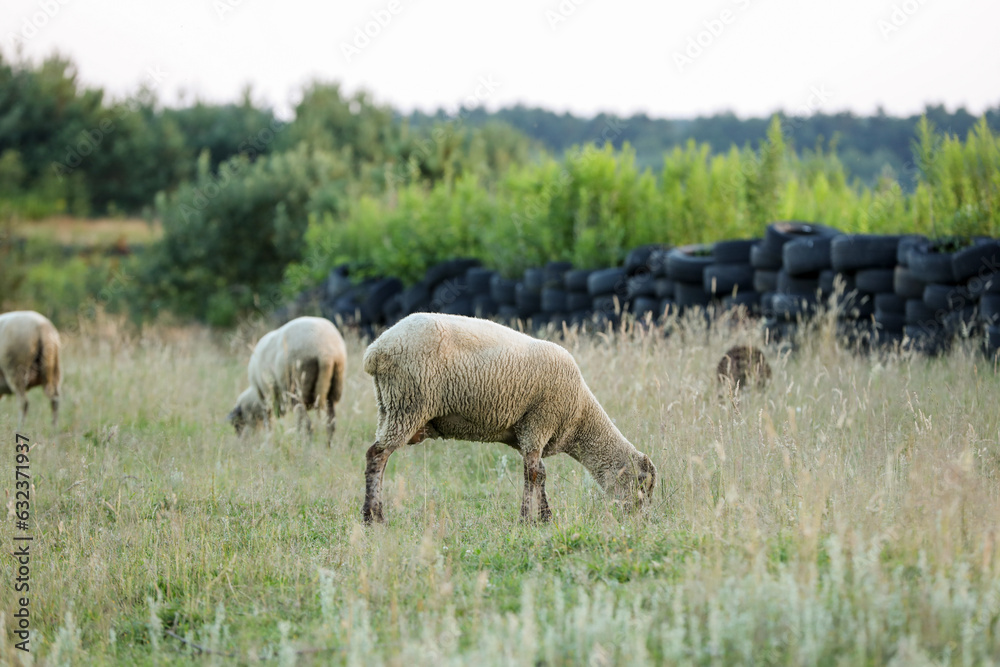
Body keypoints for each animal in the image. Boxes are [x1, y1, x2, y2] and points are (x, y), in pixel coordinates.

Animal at [361, 312, 656, 523]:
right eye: (642, 482)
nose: (640, 519)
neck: (581, 416)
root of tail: (375, 350)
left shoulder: (527, 432)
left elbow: (539, 474)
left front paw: (544, 517)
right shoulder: (540, 421)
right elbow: (534, 474)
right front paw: (527, 519)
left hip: (388, 406)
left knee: (378, 456)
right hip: (408, 404)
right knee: (376, 456)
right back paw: (373, 517)